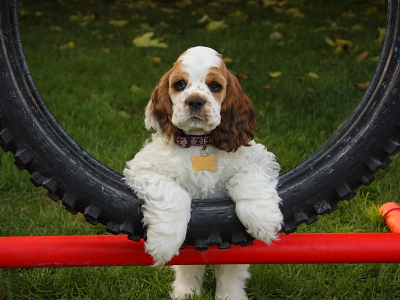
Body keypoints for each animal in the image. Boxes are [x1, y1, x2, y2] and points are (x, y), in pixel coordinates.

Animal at [123, 46, 282, 300]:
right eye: (179, 84)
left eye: (215, 86)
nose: (195, 101)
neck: (199, 142)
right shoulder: (142, 167)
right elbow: (173, 195)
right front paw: (165, 242)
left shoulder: (260, 158)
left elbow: (248, 177)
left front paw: (264, 220)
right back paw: (186, 292)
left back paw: (230, 295)